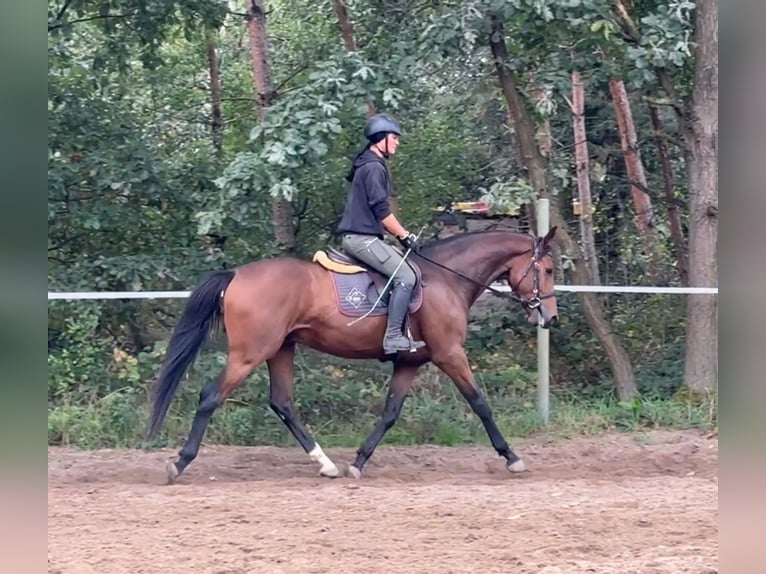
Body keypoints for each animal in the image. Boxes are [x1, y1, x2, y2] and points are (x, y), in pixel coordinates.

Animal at [147, 227, 560, 484]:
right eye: (549, 269)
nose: (550, 317)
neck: (447, 278)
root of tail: (235, 275)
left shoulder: (410, 362)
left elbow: (390, 413)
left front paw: (358, 462)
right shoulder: (449, 354)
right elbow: (480, 403)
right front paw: (512, 457)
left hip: (281, 349)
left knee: (282, 403)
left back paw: (326, 464)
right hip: (250, 353)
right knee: (210, 397)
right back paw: (179, 463)